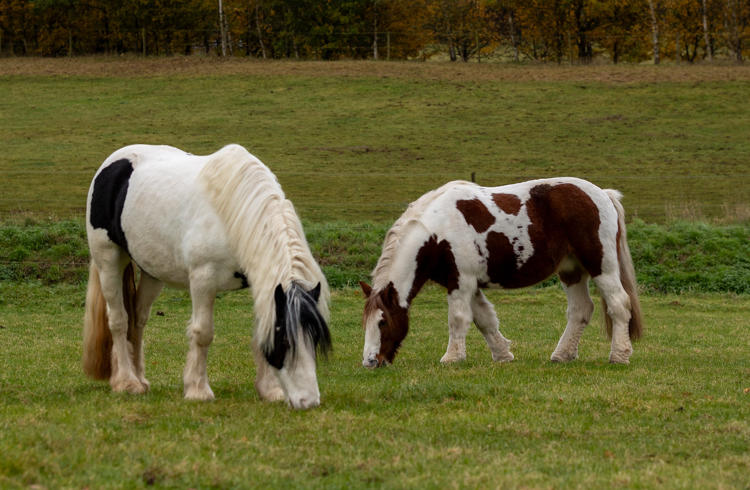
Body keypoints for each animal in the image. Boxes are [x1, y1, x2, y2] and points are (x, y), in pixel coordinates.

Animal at [83, 144, 331, 409]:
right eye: (285, 340)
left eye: (314, 338)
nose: (309, 401)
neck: (232, 211)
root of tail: (112, 163)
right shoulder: (203, 280)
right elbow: (203, 333)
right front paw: (197, 389)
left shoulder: (261, 285)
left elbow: (259, 333)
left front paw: (269, 390)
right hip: (108, 260)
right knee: (119, 320)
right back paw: (127, 382)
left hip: (152, 272)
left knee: (138, 318)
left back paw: (140, 378)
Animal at [360, 177, 643, 369]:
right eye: (366, 322)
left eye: (382, 322)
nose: (371, 362)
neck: (439, 230)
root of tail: (603, 194)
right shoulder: (470, 284)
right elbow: (484, 319)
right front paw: (502, 355)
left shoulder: (460, 282)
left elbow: (458, 319)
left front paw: (452, 357)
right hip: (571, 270)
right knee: (581, 310)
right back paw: (562, 355)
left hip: (601, 266)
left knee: (619, 304)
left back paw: (619, 355)